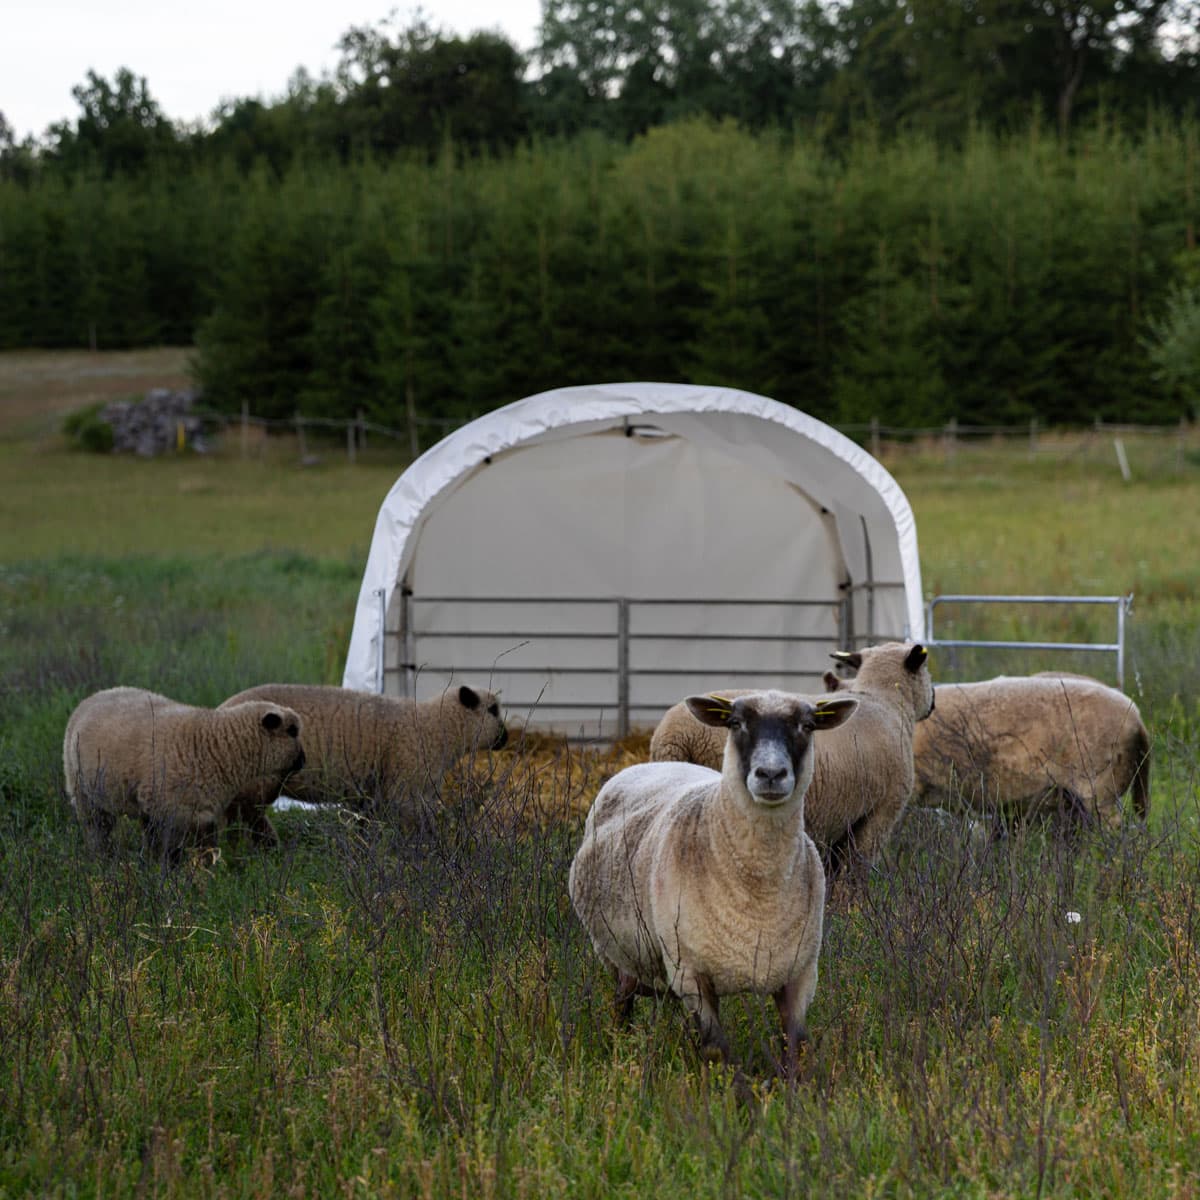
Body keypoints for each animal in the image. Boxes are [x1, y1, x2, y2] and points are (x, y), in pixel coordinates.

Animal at [62, 687, 305, 862]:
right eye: (292, 731)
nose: (303, 760)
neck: (216, 747)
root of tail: (94, 696)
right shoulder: (173, 810)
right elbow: (172, 850)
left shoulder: (202, 813)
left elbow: (206, 850)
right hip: (84, 792)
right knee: (97, 830)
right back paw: (101, 859)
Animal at [218, 682, 507, 829]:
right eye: (493, 710)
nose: (505, 738)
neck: (434, 726)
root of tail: (220, 710)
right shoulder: (405, 788)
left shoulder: (376, 794)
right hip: (257, 781)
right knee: (244, 818)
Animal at [569, 690, 859, 1076]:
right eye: (735, 723)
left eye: (807, 725)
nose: (770, 773)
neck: (759, 890)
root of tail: (645, 765)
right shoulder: (691, 972)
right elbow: (716, 1049)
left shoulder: (800, 974)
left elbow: (796, 1046)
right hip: (620, 954)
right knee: (623, 1001)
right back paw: (621, 1046)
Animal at [649, 643, 935, 874]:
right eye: (926, 670)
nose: (933, 703)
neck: (885, 701)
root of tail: (674, 734)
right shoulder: (880, 814)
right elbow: (854, 874)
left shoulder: (839, 822)